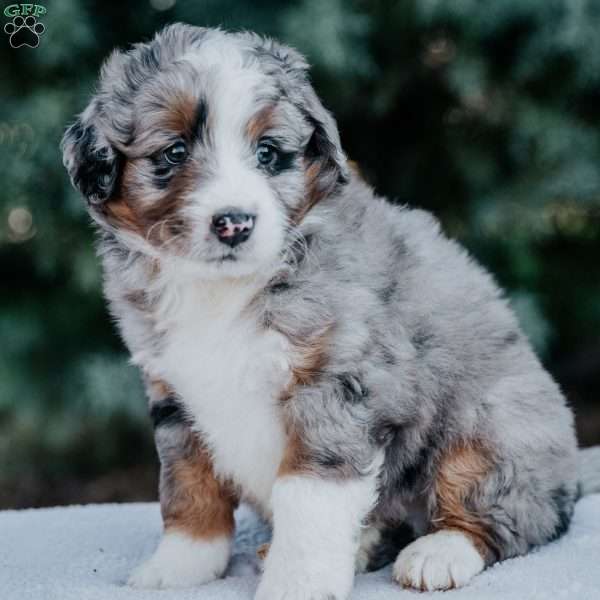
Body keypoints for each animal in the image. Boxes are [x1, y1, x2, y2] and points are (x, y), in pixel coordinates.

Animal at [62, 24, 600, 600]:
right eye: (174, 152)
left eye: (268, 153)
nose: (235, 222)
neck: (225, 290)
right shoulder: (175, 393)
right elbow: (187, 483)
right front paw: (180, 565)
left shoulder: (336, 385)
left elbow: (310, 495)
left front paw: (296, 582)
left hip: (493, 424)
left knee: (511, 515)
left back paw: (439, 552)